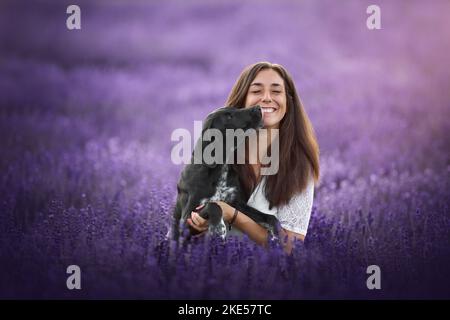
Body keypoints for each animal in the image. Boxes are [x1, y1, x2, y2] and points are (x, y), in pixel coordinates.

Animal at [171, 105, 278, 242]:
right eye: (229, 117)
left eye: (236, 108)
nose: (258, 107)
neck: (220, 168)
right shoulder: (188, 218)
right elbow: (213, 205)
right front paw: (218, 227)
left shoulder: (236, 204)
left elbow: (268, 217)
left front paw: (278, 235)